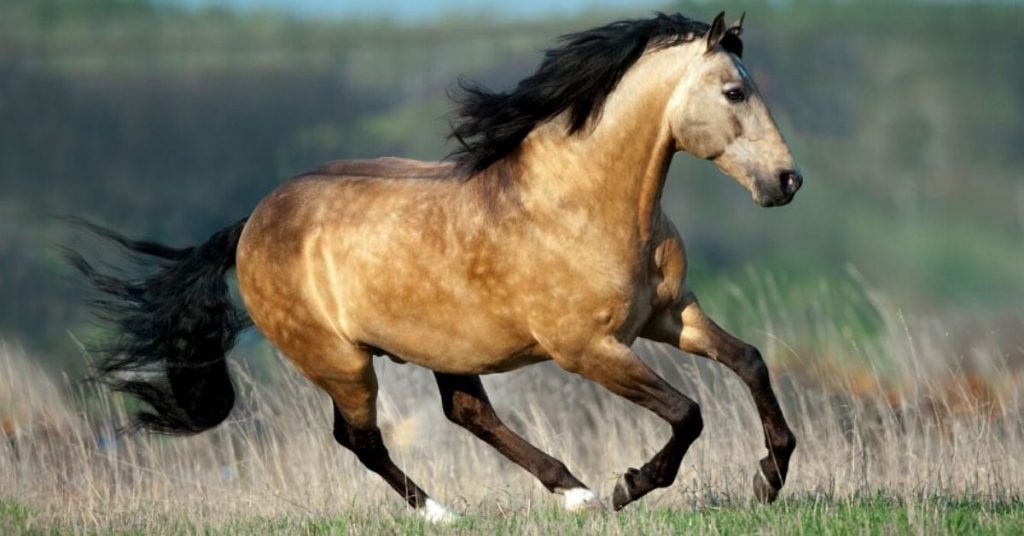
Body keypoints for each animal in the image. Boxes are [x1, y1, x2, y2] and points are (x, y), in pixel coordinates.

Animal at [68, 12, 802, 521]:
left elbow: (749, 363)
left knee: (466, 413)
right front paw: (632, 485)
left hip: (445, 346)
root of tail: (250, 223)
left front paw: (770, 477)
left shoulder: (669, 315)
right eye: (734, 92)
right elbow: (688, 412)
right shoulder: (587, 349)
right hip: (342, 362)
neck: (583, 201)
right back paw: (450, 511)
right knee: (360, 437)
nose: (786, 181)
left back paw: (573, 493)